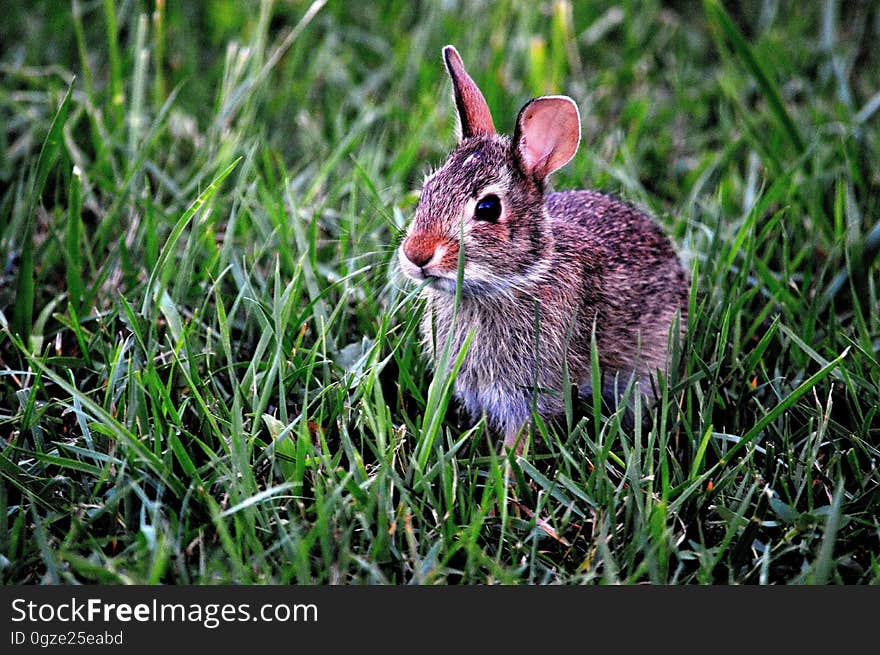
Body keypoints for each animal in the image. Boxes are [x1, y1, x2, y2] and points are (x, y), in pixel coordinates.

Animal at [396, 44, 692, 452]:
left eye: (488, 208)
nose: (416, 254)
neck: (517, 279)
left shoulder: (532, 393)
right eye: (427, 189)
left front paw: (508, 466)